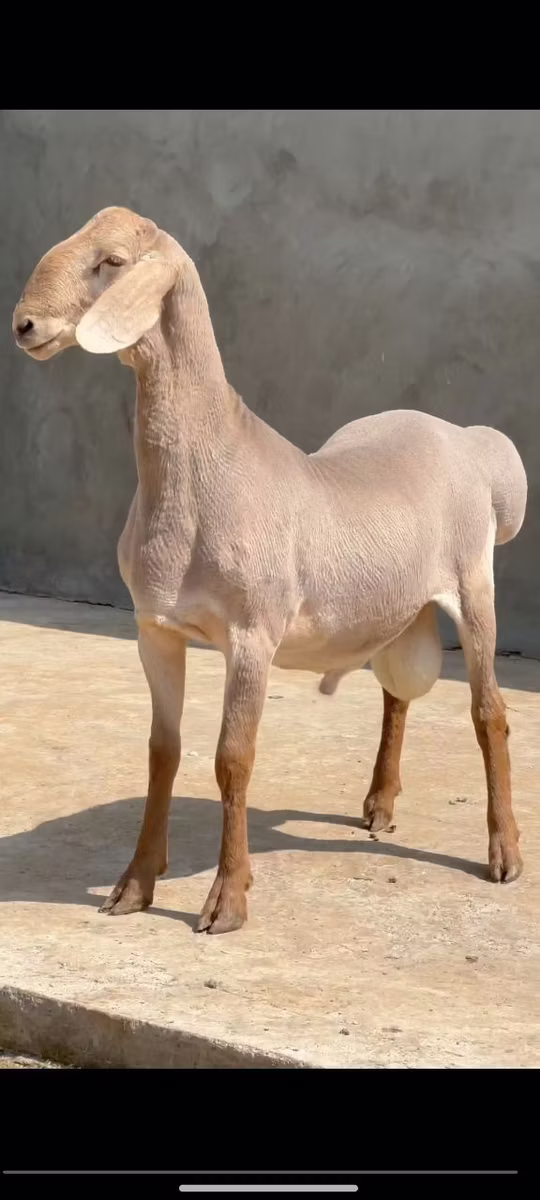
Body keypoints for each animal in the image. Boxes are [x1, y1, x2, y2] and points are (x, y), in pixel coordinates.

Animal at [13, 206, 528, 934]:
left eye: (111, 262)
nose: (24, 325)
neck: (215, 469)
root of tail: (470, 439)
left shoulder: (251, 632)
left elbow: (233, 758)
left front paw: (226, 902)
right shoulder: (155, 630)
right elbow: (162, 752)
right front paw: (134, 886)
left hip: (473, 582)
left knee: (490, 713)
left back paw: (503, 853)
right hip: (396, 607)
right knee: (396, 694)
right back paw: (379, 804)